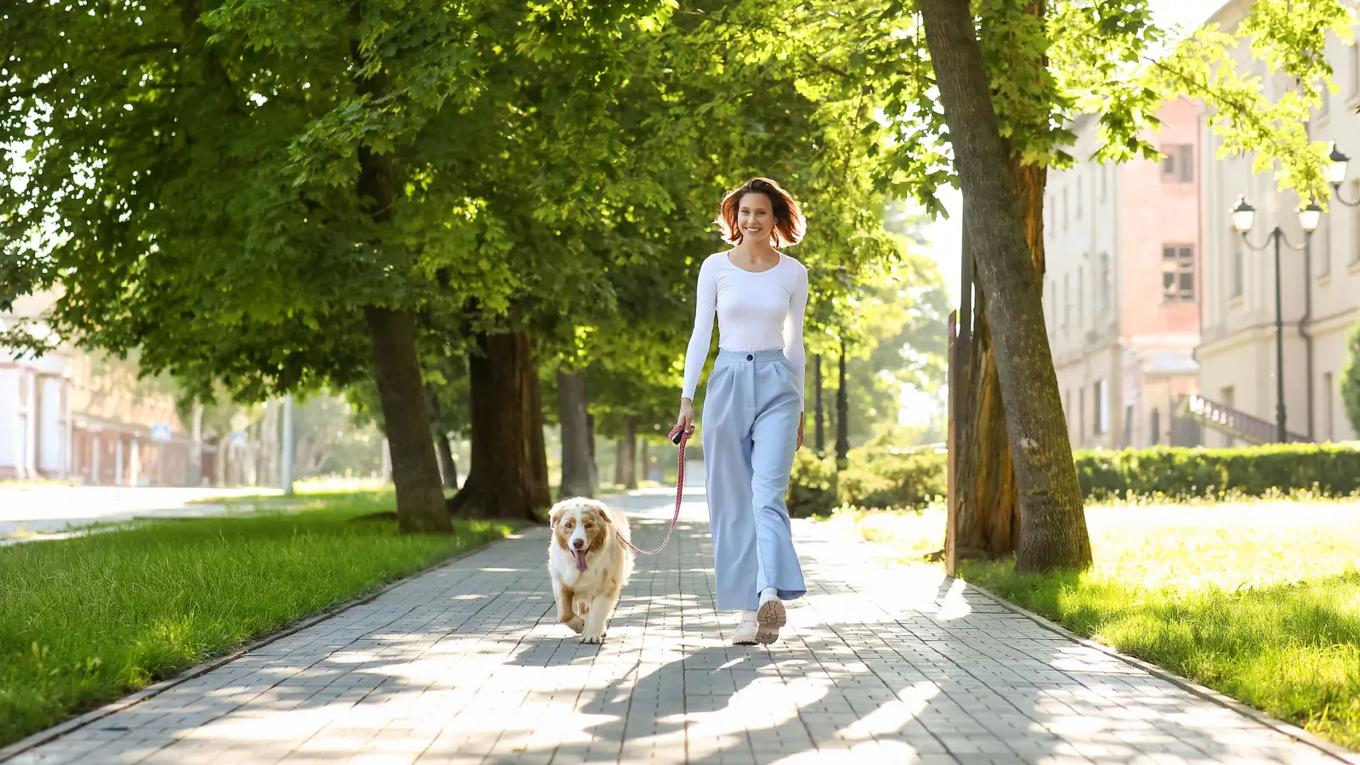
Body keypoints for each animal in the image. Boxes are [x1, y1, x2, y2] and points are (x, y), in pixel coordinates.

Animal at [544, 498, 633, 639]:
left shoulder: (607, 585)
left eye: (588, 525)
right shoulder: (560, 581)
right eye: (568, 525)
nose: (577, 543)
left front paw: (592, 634)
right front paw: (580, 625)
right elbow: (564, 615)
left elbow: (598, 611)